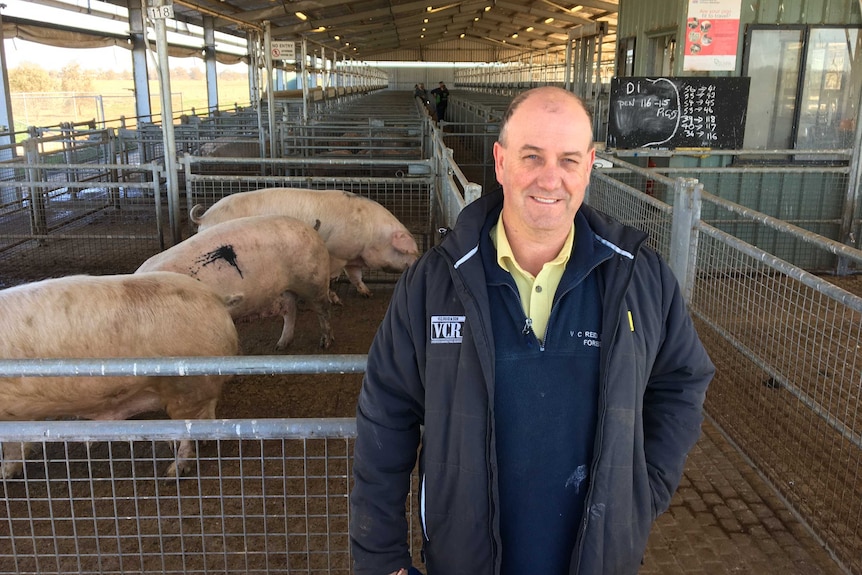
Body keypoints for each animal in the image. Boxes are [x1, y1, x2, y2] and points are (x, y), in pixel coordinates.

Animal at [138, 216, 334, 352]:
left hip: (315, 280)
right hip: (285, 287)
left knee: (322, 310)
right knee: (290, 309)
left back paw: (325, 344)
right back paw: (280, 346)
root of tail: (312, 229)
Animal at [190, 188, 422, 296]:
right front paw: (334, 297)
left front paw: (368, 293)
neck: (372, 234)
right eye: (409, 252)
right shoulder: (337, 252)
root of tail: (204, 217)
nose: (418, 261)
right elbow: (332, 275)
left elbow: (356, 277)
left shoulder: (352, 255)